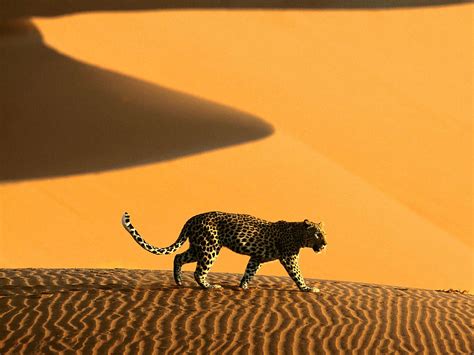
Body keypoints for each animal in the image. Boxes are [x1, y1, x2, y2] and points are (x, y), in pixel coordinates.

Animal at [121, 211, 326, 292]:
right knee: (198, 271)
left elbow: (249, 271)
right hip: (209, 248)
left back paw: (179, 282)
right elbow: (297, 274)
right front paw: (307, 288)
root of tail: (192, 218)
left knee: (178, 257)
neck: (298, 234)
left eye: (324, 233)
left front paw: (243, 286)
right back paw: (210, 286)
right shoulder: (289, 258)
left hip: (198, 247)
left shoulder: (257, 257)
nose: (325, 244)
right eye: (317, 234)